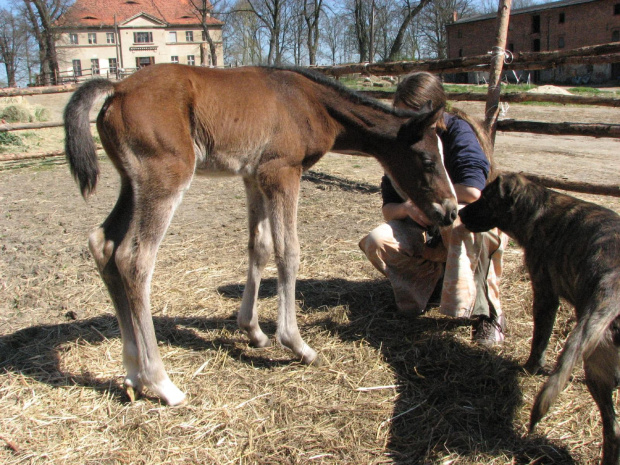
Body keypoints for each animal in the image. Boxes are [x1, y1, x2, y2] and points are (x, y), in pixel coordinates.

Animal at [458, 172, 620, 462]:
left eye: (486, 198)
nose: (460, 212)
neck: (538, 209)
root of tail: (613, 284)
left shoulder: (545, 295)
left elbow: (539, 341)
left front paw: (531, 368)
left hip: (595, 367)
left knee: (613, 431)